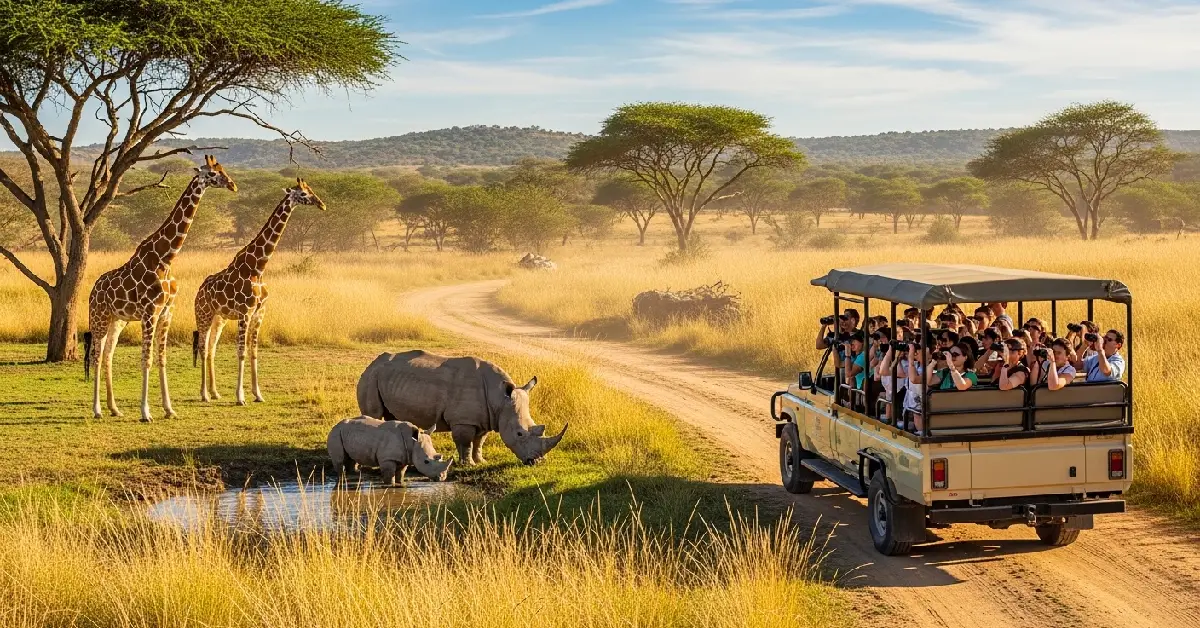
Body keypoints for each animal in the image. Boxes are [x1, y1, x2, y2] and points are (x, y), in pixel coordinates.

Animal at [86, 155, 237, 422]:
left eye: (222, 170)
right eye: (212, 173)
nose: (232, 184)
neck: (166, 259)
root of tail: (93, 291)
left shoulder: (167, 312)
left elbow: (161, 358)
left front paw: (169, 409)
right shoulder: (149, 312)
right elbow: (146, 359)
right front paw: (146, 412)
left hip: (117, 320)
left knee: (107, 355)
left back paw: (114, 408)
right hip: (99, 317)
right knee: (96, 355)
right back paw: (97, 410)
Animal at [193, 179, 326, 405]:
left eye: (310, 190)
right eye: (303, 193)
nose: (321, 204)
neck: (258, 268)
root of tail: (198, 292)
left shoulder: (259, 313)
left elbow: (254, 351)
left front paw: (258, 394)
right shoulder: (245, 313)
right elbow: (241, 351)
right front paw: (240, 397)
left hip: (219, 318)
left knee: (211, 348)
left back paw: (214, 392)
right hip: (203, 314)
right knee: (202, 346)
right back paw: (204, 394)